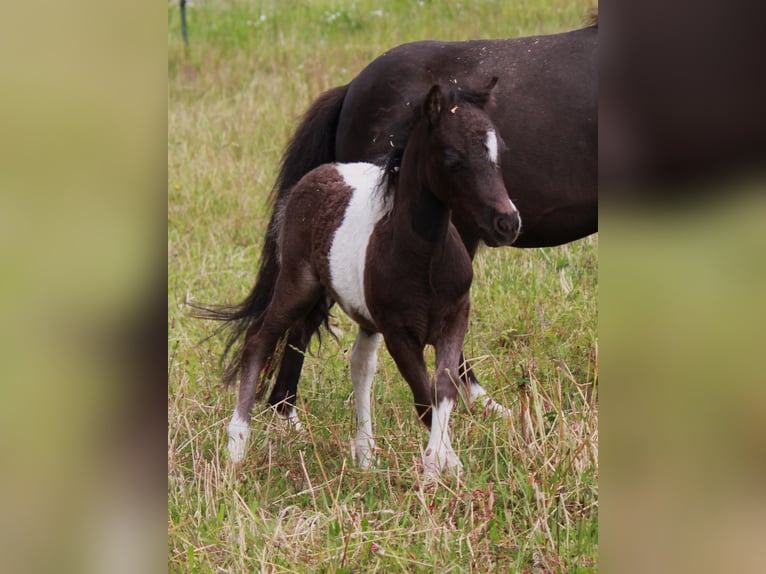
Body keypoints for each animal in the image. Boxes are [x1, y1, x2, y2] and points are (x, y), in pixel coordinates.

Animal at [225, 79, 520, 480]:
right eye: (452, 158)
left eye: (498, 153)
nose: (508, 223)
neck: (426, 260)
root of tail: (318, 174)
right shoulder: (399, 333)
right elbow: (424, 398)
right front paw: (438, 468)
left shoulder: (455, 318)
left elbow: (443, 389)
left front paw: (448, 466)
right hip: (299, 286)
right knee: (259, 340)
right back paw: (237, 444)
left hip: (358, 314)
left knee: (359, 365)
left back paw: (365, 455)